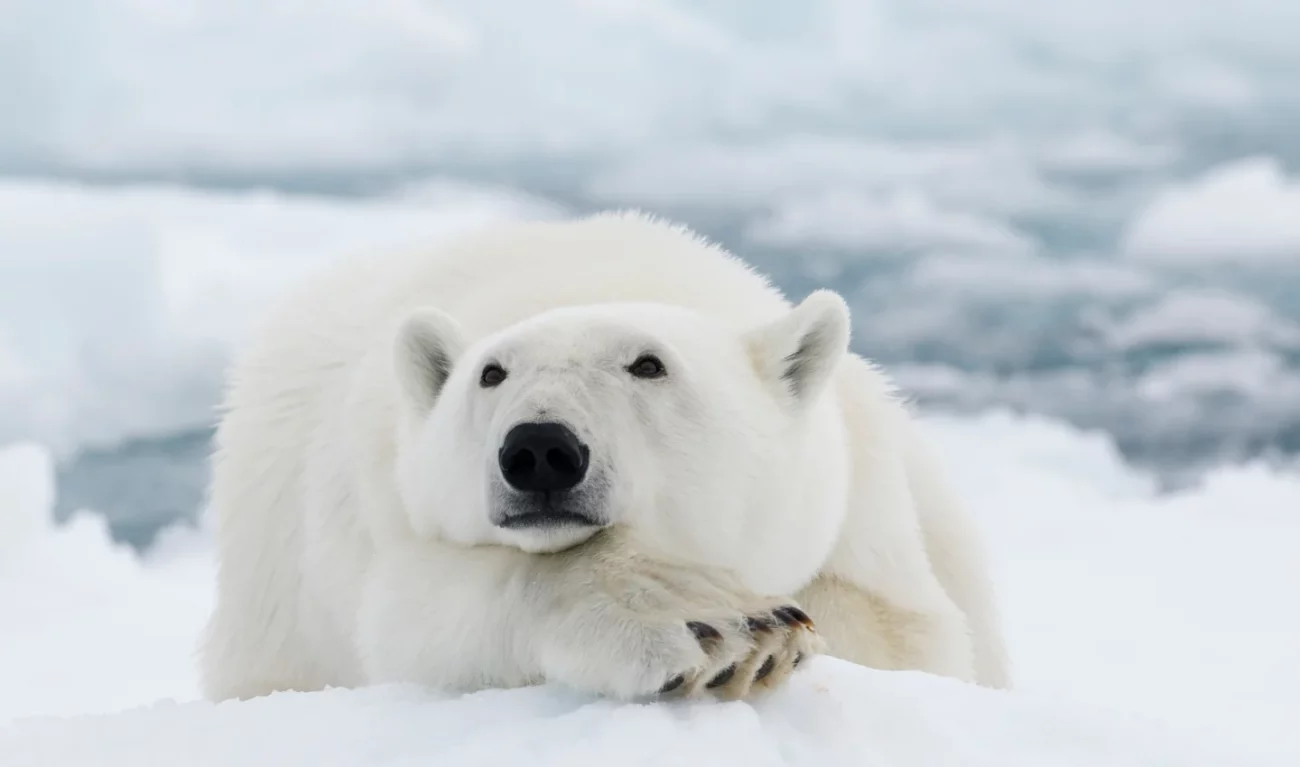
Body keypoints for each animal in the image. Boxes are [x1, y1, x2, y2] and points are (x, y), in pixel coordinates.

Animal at [197, 210, 1008, 702]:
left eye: (648, 364)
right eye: (491, 372)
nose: (540, 449)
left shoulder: (860, 504)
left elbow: (906, 632)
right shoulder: (379, 511)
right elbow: (415, 612)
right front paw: (720, 625)